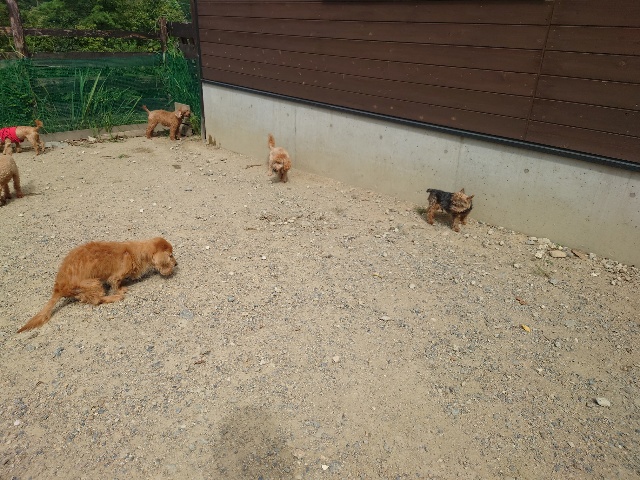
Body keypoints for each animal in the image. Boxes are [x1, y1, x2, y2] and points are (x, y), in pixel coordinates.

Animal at [18, 237, 177, 332]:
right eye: (170, 256)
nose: (176, 264)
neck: (134, 252)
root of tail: (58, 288)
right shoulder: (115, 276)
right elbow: (116, 284)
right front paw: (120, 290)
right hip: (93, 283)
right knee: (97, 300)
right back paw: (114, 297)